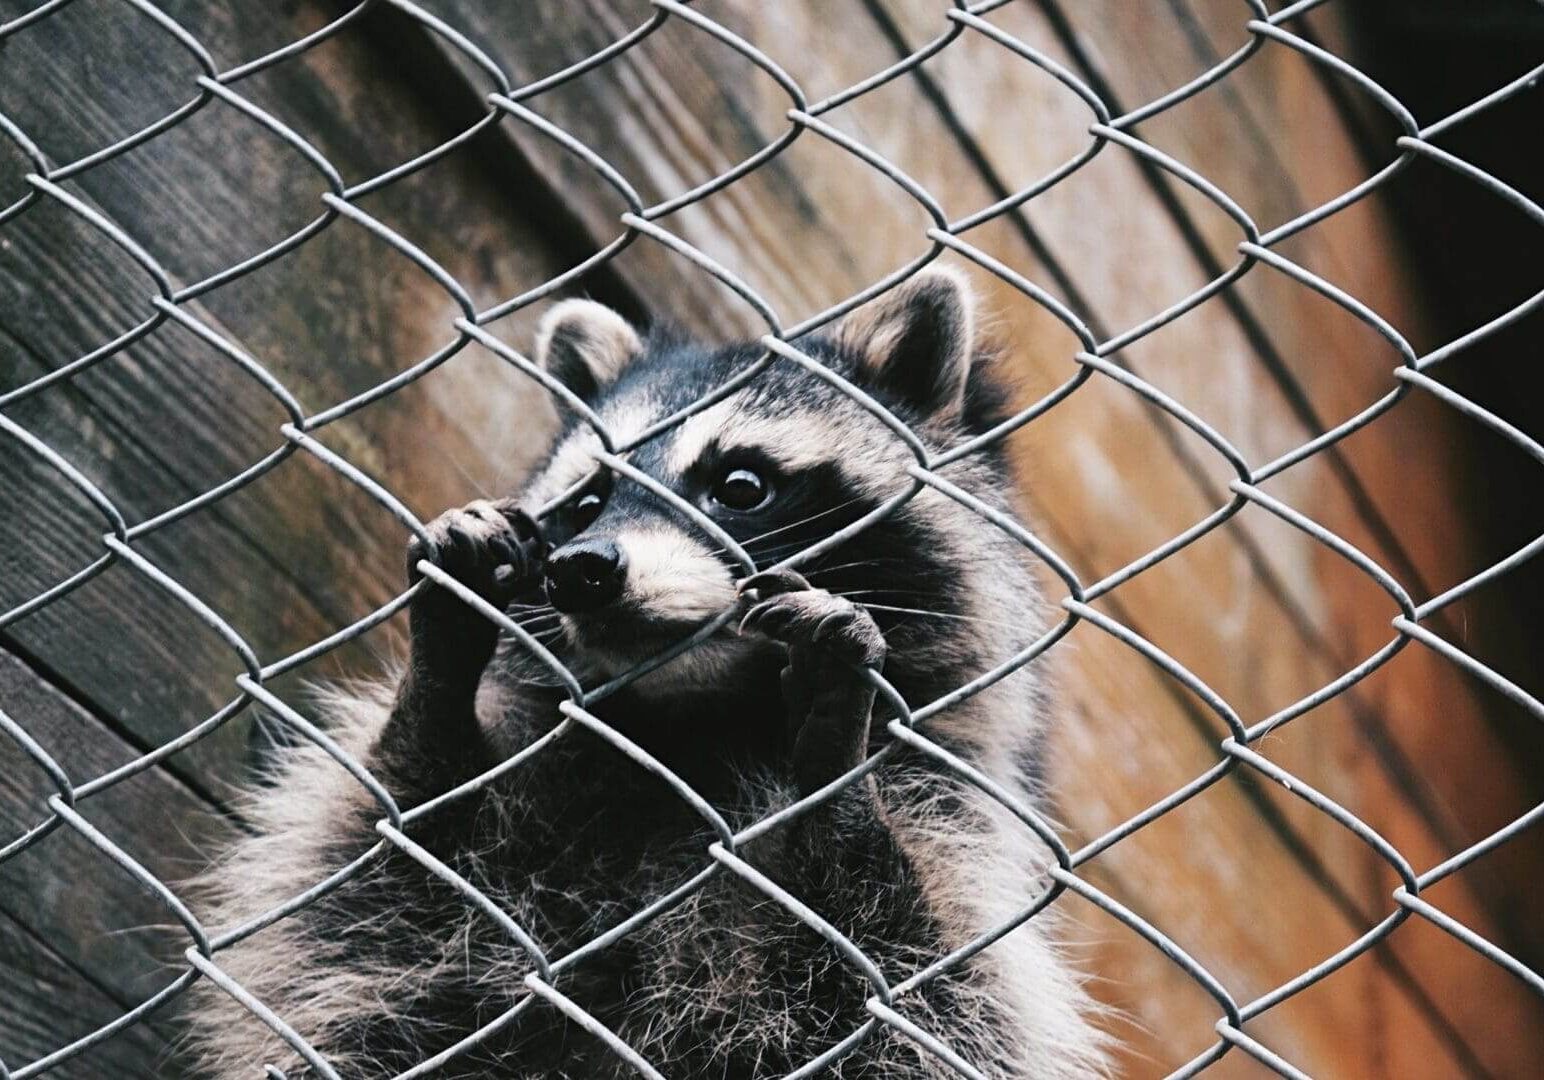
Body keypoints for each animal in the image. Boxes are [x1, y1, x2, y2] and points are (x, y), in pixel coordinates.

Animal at [186, 269, 1109, 1078]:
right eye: (588, 502)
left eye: (741, 484)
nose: (582, 570)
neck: (690, 724)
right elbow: (378, 894)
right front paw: (441, 675)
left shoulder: (954, 827)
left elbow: (912, 992)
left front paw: (833, 774)